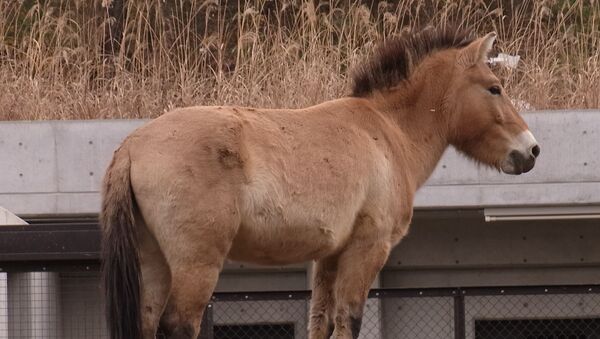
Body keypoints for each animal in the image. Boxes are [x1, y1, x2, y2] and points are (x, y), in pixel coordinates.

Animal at [102, 27, 540, 339]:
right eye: (494, 88)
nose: (531, 150)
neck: (386, 132)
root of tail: (132, 146)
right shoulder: (368, 249)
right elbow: (349, 320)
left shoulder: (329, 256)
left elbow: (321, 323)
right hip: (196, 265)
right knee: (179, 324)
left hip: (154, 262)